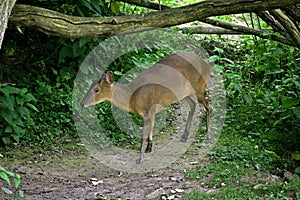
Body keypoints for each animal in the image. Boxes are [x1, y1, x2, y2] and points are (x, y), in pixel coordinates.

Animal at [81, 52, 210, 164]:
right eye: (90, 85)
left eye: (96, 89)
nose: (82, 103)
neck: (132, 97)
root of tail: (207, 65)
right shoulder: (151, 112)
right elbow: (151, 128)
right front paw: (149, 148)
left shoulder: (147, 111)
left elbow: (143, 134)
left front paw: (140, 158)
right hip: (183, 94)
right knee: (193, 105)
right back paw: (184, 136)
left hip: (199, 87)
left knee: (207, 106)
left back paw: (208, 136)